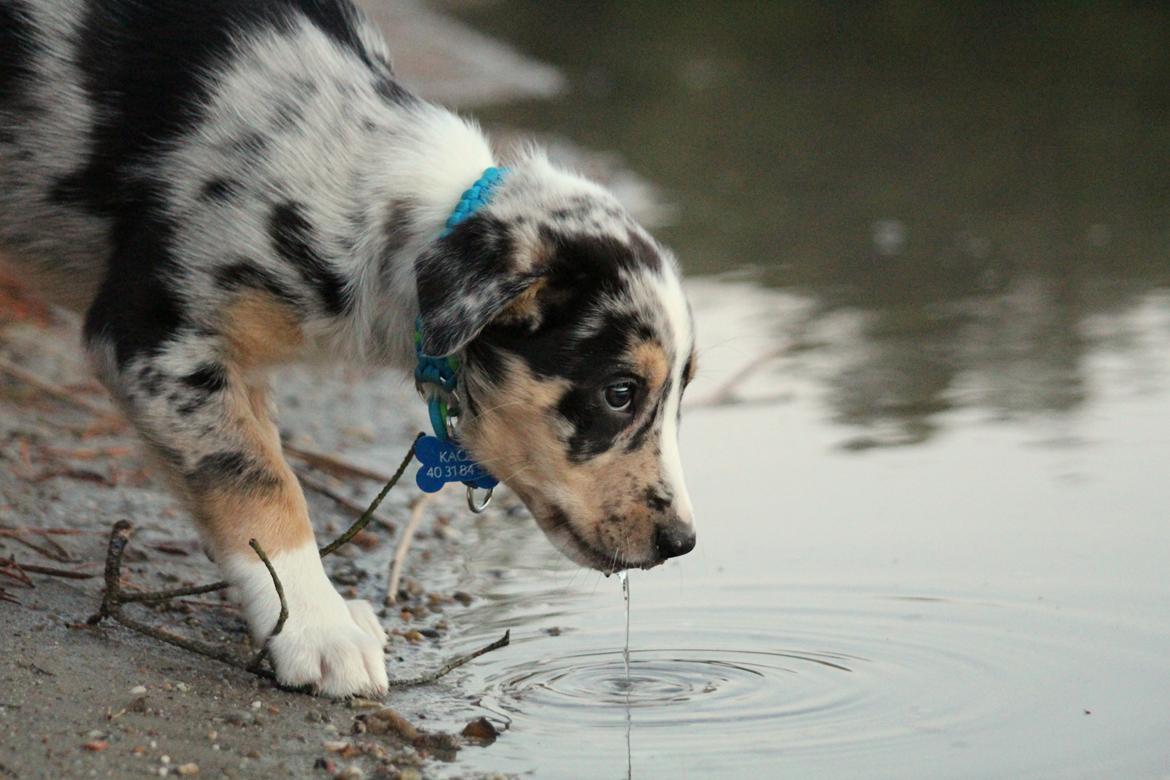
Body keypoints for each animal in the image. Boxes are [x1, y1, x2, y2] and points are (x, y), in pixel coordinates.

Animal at [0, 0, 692, 696]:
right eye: (619, 393)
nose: (681, 543)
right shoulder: (155, 339)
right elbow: (261, 481)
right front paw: (318, 629)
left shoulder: (236, 366)